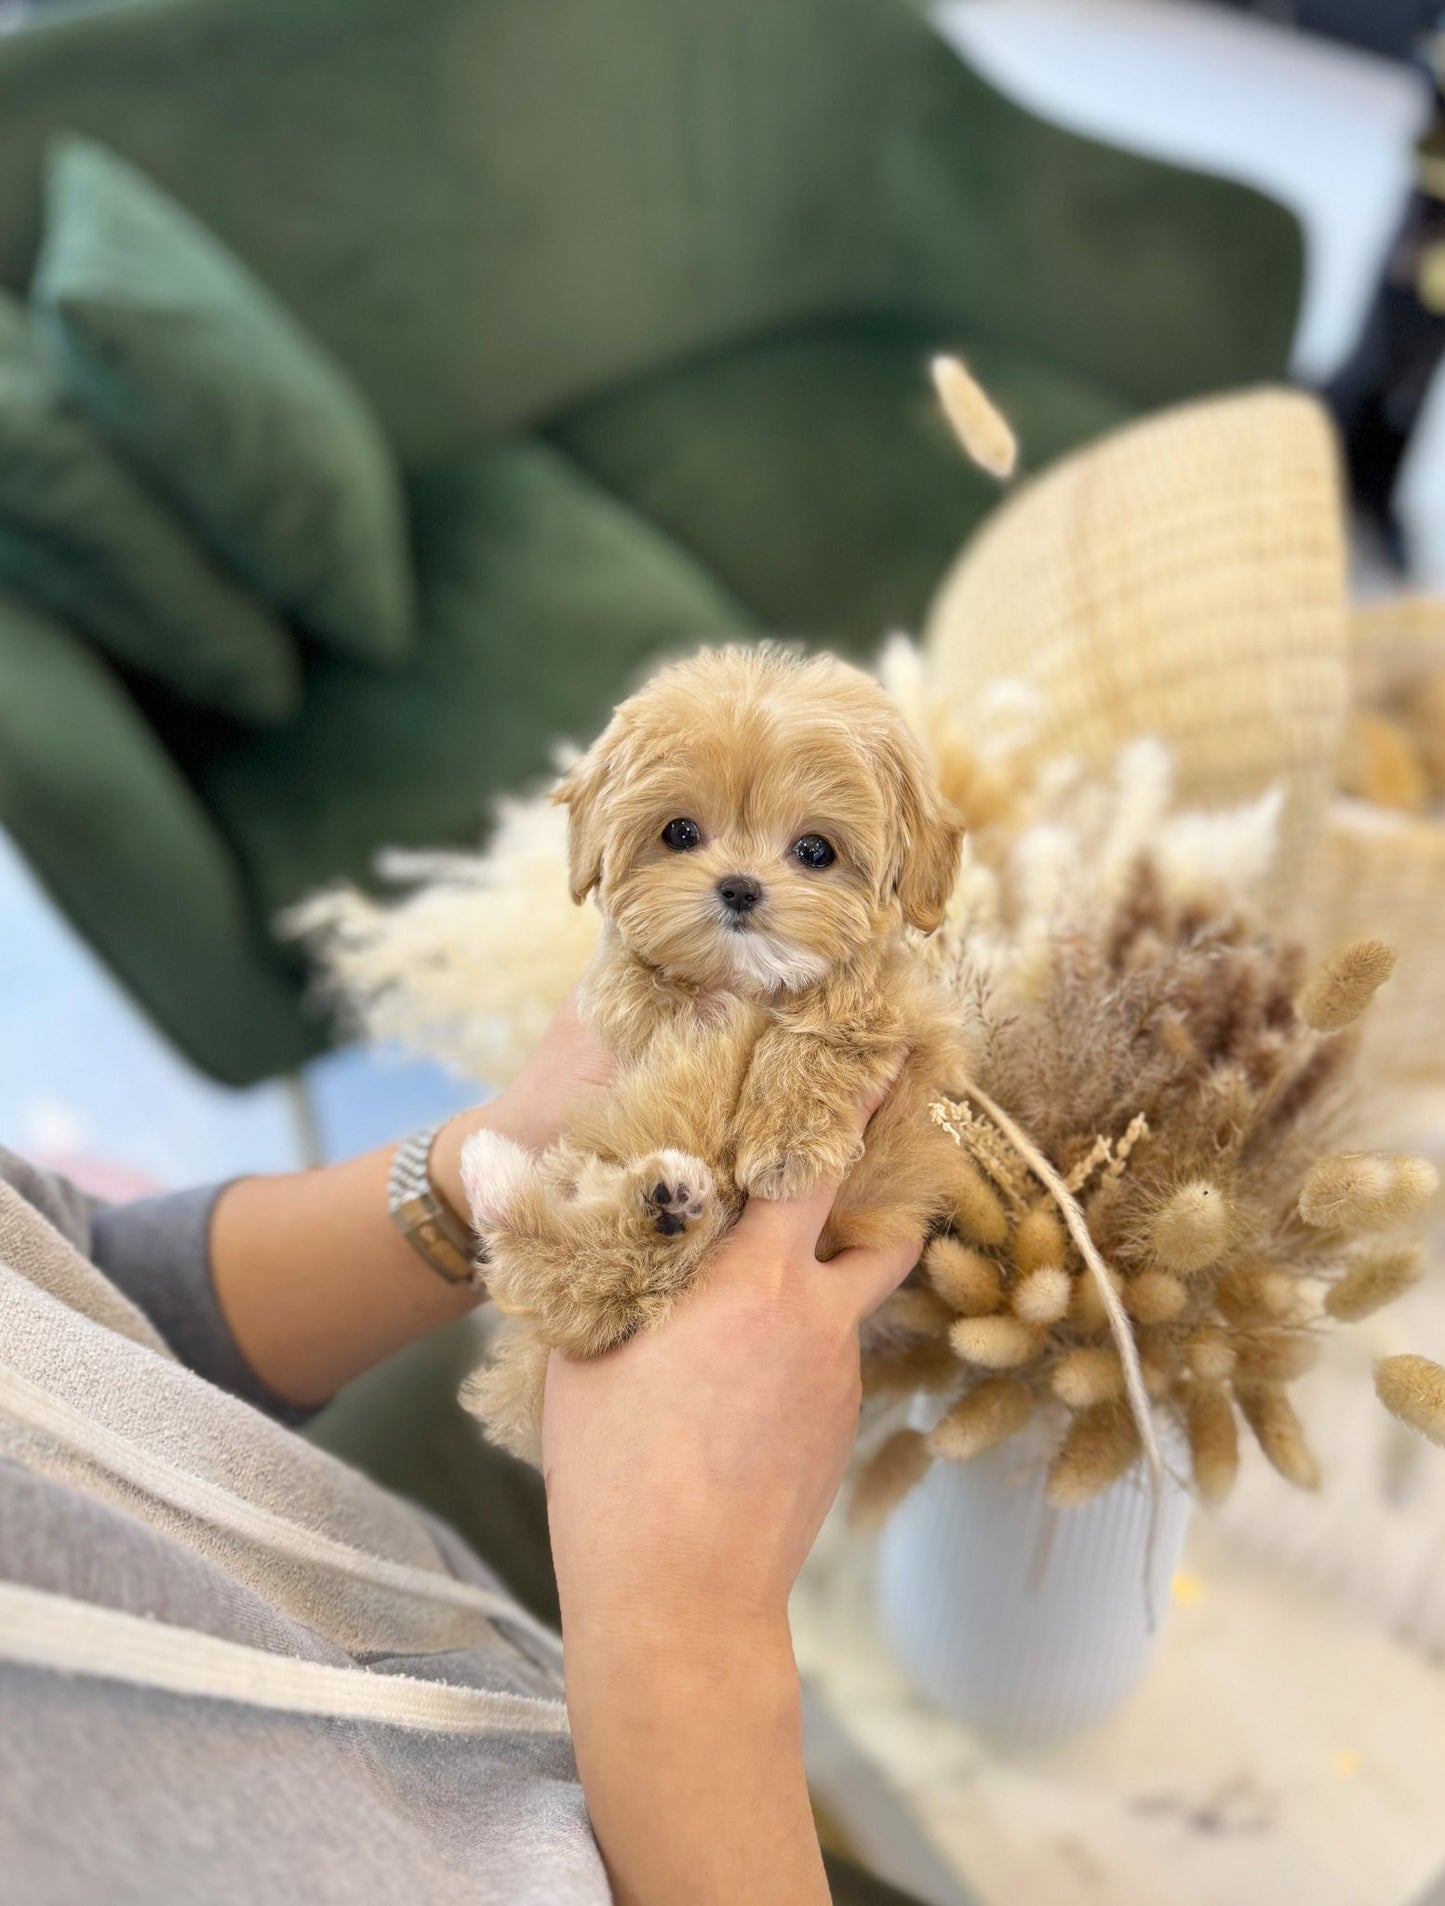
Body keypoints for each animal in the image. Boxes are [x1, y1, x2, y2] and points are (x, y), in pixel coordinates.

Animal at [463, 644, 972, 1456]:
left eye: (815, 850)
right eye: (678, 833)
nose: (738, 887)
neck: (744, 983)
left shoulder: (907, 1018)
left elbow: (831, 1026)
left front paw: (787, 1141)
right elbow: (626, 983)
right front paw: (650, 1005)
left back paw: (663, 1200)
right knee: (591, 1273)